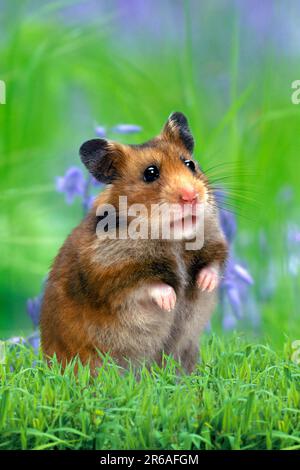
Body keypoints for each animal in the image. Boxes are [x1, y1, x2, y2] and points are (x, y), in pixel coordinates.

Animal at [39, 112, 227, 372]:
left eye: (190, 164)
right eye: (150, 173)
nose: (191, 197)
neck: (173, 240)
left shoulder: (215, 241)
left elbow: (213, 263)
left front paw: (205, 284)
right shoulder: (110, 274)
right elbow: (146, 284)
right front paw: (170, 301)